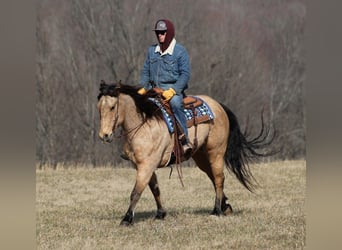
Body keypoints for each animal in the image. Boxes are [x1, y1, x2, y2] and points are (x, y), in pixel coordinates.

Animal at [97, 81, 272, 226]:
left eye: (112, 107)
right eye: (99, 108)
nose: (104, 135)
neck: (145, 124)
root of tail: (218, 105)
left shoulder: (146, 165)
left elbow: (136, 192)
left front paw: (127, 219)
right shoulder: (143, 166)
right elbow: (155, 189)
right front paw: (160, 214)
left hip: (215, 152)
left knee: (219, 178)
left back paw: (216, 210)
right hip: (201, 157)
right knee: (213, 177)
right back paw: (225, 206)